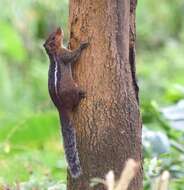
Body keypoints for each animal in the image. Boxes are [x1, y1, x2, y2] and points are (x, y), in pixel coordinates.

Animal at [43, 27, 89, 177]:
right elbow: (73, 56)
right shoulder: (64, 55)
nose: (59, 28)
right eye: (53, 37)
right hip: (73, 90)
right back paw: (81, 95)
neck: (54, 53)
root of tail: (61, 108)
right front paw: (82, 45)